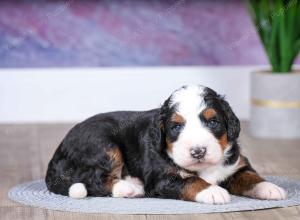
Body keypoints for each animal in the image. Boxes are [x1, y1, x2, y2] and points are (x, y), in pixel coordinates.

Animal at [45, 85, 288, 204]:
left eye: (213, 121)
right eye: (176, 126)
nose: (198, 151)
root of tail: (58, 150)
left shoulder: (234, 165)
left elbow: (249, 176)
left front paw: (269, 188)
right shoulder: (162, 178)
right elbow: (190, 181)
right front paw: (212, 191)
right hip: (103, 143)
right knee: (92, 178)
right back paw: (130, 188)